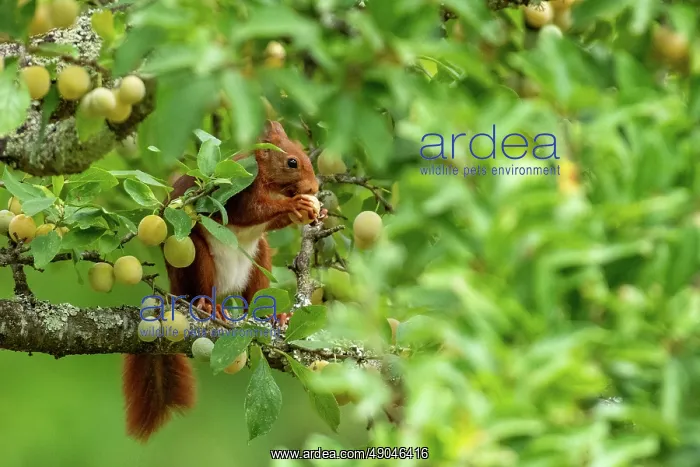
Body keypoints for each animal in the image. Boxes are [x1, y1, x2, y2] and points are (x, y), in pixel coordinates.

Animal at [122, 120, 322, 442]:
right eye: (292, 162)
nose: (315, 188)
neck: (267, 179)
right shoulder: (237, 192)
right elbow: (253, 212)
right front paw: (295, 204)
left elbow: (268, 222)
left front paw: (315, 210)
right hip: (197, 260)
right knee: (202, 287)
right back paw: (208, 306)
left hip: (258, 261)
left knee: (254, 294)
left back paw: (273, 315)